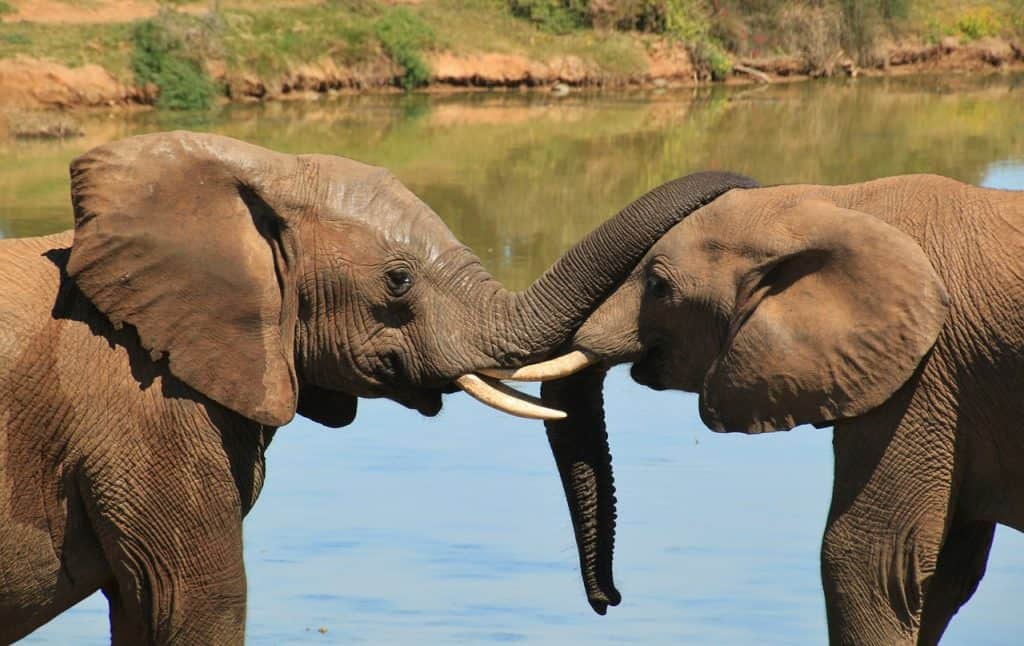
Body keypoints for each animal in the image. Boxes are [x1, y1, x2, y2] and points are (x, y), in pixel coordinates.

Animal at [495, 176, 1024, 646]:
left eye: (659, 286)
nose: (610, 600)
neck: (839, 204)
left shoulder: (925, 376)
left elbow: (868, 559)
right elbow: (943, 574)